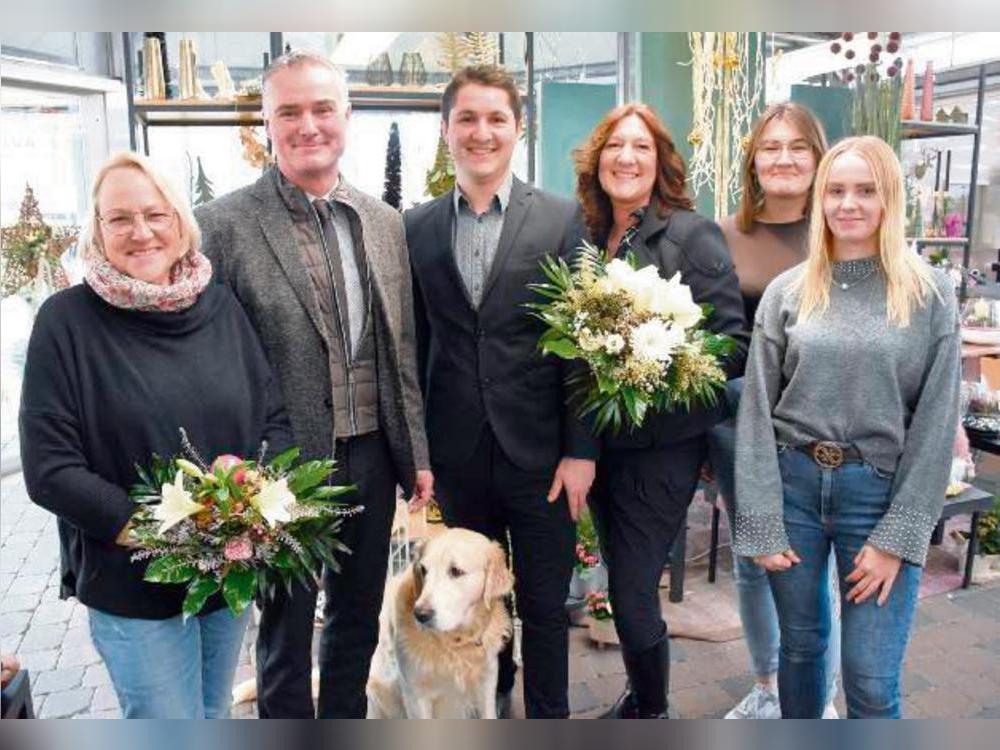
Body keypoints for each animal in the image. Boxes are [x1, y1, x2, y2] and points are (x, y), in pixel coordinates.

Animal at [366, 524, 512, 720]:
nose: (420, 614)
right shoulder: (415, 694)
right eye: (423, 570)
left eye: (456, 571)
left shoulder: (487, 681)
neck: (454, 641)